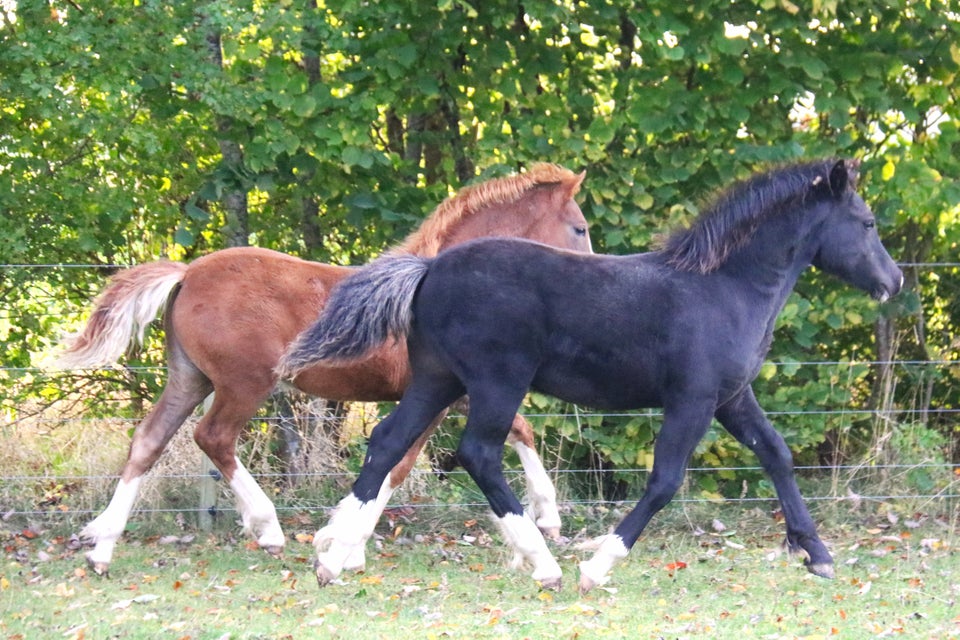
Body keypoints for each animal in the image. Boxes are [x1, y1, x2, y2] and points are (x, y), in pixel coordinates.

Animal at [58, 164, 592, 576]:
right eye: (580, 228)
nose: (591, 270)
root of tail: (187, 273)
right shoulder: (437, 395)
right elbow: (399, 465)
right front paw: (343, 545)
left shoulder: (459, 392)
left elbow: (518, 430)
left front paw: (546, 518)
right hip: (243, 383)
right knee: (214, 438)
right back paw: (267, 528)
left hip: (190, 378)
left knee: (149, 441)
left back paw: (102, 548)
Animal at [282, 158, 904, 592]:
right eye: (867, 221)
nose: (893, 280)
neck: (724, 288)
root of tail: (429, 266)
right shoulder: (693, 399)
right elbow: (664, 482)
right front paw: (599, 566)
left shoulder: (732, 398)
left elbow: (777, 454)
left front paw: (816, 553)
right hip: (495, 383)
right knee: (477, 454)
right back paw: (545, 563)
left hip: (439, 380)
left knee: (388, 441)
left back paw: (331, 559)